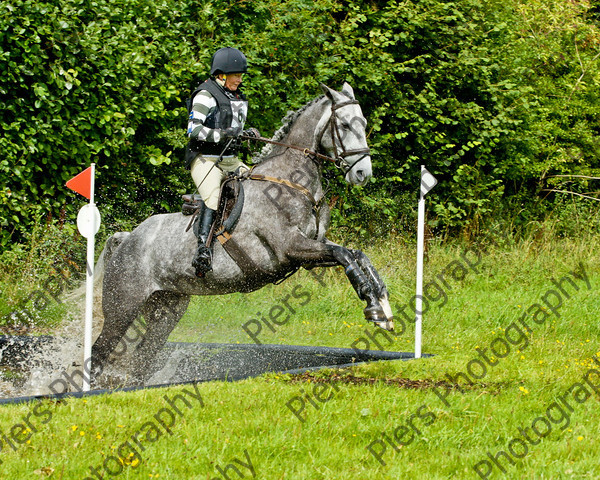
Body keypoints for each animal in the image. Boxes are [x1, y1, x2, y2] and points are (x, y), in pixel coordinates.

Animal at [90, 83, 394, 386]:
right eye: (344, 124)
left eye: (363, 123)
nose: (362, 173)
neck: (293, 180)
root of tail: (127, 239)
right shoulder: (291, 247)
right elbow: (344, 255)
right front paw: (372, 305)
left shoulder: (312, 248)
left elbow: (355, 255)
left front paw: (382, 305)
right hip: (123, 306)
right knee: (100, 351)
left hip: (167, 309)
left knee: (142, 359)